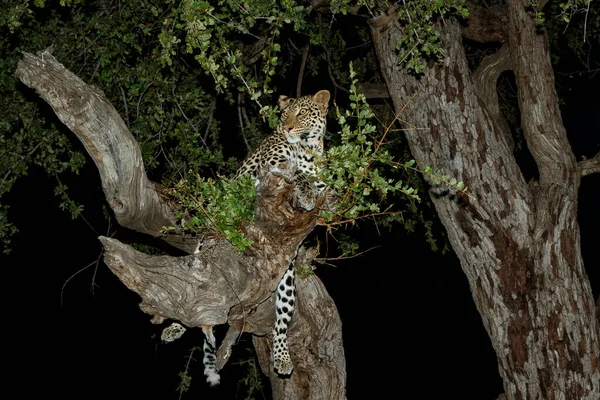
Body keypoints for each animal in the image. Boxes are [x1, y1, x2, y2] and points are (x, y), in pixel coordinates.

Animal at [203, 90, 332, 384]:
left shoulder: (321, 177)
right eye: (285, 114)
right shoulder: (271, 165)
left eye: (302, 113)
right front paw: (305, 191)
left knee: (281, 322)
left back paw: (282, 358)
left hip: (286, 277)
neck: (309, 149)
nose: (287, 128)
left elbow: (317, 181)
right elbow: (297, 174)